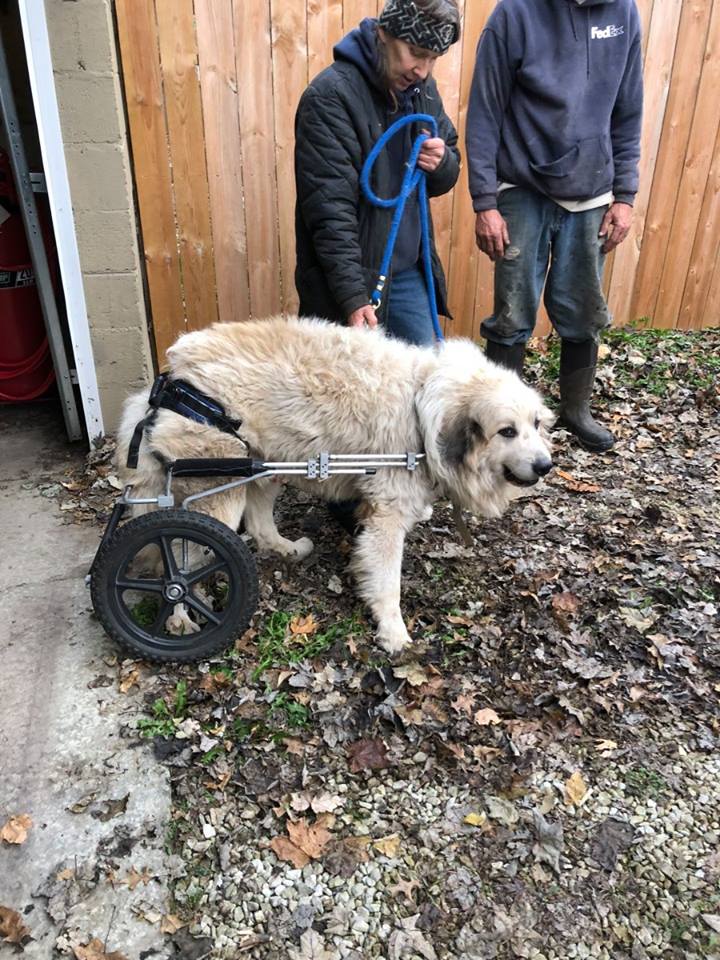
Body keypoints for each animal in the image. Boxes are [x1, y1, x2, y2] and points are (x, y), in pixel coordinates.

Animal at [116, 318, 552, 656]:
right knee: (179, 555)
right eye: (507, 431)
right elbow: (388, 583)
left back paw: (287, 548)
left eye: (536, 424)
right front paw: (393, 632)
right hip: (219, 491)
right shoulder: (387, 518)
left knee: (258, 525)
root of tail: (174, 373)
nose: (546, 466)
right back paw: (179, 617)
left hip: (265, 464)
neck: (425, 407)